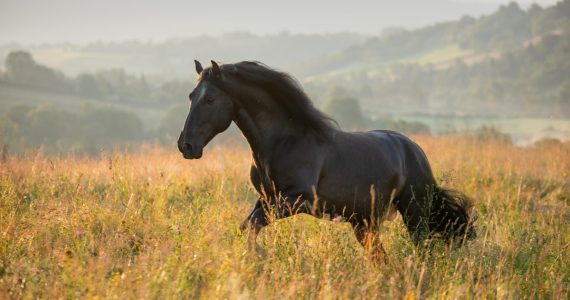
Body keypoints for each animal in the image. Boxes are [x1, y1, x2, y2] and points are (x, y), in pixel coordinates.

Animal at [179, 60, 474, 255]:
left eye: (210, 99)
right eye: (191, 96)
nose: (186, 145)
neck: (282, 142)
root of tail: (416, 151)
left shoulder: (296, 200)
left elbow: (252, 225)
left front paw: (258, 257)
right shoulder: (265, 199)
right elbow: (246, 226)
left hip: (414, 213)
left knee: (421, 248)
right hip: (364, 222)